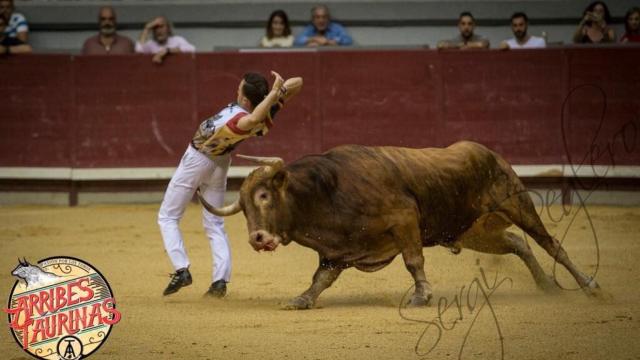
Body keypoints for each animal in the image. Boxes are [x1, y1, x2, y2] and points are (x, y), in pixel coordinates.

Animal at [196, 141, 600, 310]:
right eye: (244, 207)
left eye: (265, 196)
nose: (258, 238)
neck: (327, 192)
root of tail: (485, 152)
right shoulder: (336, 250)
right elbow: (321, 278)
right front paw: (302, 299)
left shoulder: (405, 220)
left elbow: (413, 261)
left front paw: (422, 296)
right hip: (473, 231)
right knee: (517, 242)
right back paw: (546, 287)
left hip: (517, 202)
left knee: (550, 244)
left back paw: (590, 286)